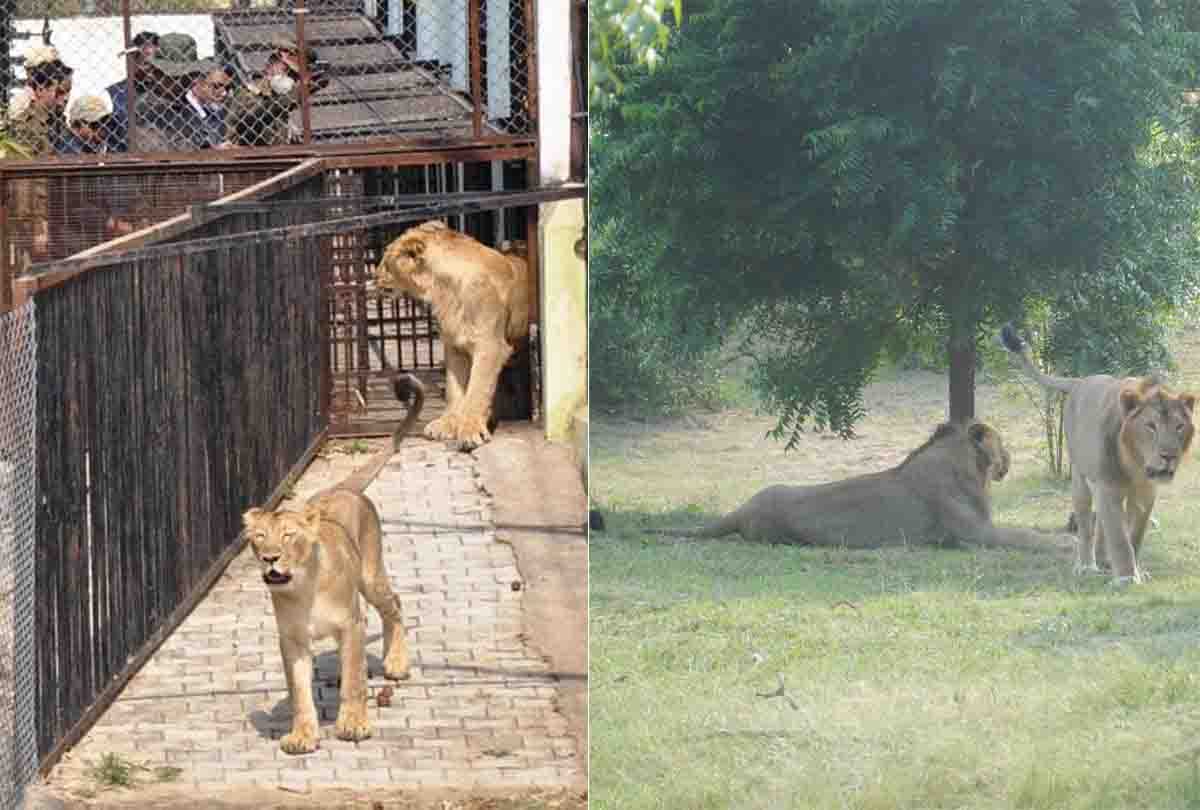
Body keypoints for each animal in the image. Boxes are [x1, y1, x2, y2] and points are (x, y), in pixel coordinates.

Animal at [241, 374, 424, 754]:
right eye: (259, 538)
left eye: (289, 536)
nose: (270, 558)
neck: (303, 590)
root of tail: (344, 488)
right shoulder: (292, 639)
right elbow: (299, 692)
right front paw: (301, 736)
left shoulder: (349, 624)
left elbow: (354, 682)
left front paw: (353, 724)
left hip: (370, 576)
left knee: (394, 605)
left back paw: (396, 662)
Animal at [372, 220, 529, 451]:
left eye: (385, 261)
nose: (374, 277)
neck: (444, 290)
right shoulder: (454, 346)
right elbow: (454, 389)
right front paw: (447, 424)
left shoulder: (490, 346)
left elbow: (477, 389)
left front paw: (470, 430)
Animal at [666, 420, 1070, 551]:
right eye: (1002, 442)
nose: (1010, 457)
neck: (971, 470)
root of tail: (742, 509)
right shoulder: (976, 535)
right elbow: (1027, 536)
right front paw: (1065, 545)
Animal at [1000, 323, 1196, 583]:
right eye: (1150, 426)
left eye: (1179, 426)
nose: (1169, 456)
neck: (1135, 463)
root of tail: (1080, 381)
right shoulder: (1107, 486)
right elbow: (1119, 537)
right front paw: (1126, 578)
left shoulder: (1145, 493)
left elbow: (1135, 535)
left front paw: (1135, 569)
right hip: (1080, 477)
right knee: (1085, 523)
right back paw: (1087, 565)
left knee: (1101, 521)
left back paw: (1104, 561)